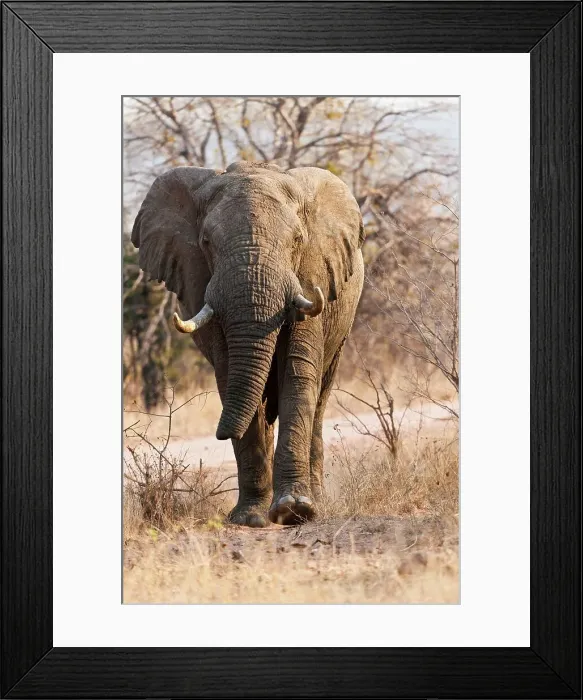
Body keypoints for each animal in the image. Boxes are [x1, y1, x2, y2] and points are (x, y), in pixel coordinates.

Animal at [131, 161, 365, 527]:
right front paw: (251, 518)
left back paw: (318, 500)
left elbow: (297, 375)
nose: (219, 433)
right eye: (206, 242)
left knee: (319, 399)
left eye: (298, 240)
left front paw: (294, 511)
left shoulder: (313, 277)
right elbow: (231, 374)